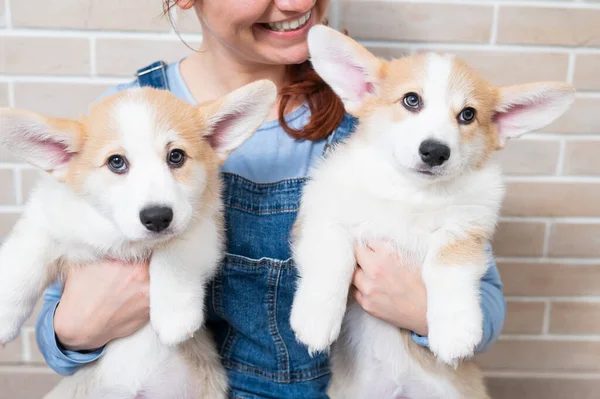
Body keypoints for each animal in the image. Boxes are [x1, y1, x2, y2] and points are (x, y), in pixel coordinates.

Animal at [0, 81, 276, 399]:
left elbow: (173, 256)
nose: (157, 217)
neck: (123, 237)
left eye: (176, 156)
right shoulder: (45, 220)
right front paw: (4, 318)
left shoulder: (205, 227)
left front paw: (174, 316)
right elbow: (22, 263)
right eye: (116, 162)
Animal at [290, 25, 576, 399]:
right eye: (411, 100)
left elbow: (447, 268)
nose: (435, 151)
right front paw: (315, 320)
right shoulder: (323, 214)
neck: (413, 194)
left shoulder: (466, 230)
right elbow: (332, 258)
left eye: (467, 115)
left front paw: (455, 332)